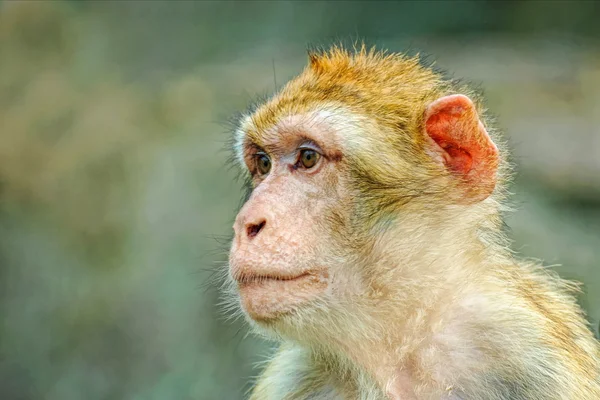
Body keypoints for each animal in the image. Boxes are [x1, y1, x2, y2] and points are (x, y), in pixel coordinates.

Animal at [225, 45, 600, 398]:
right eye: (263, 163)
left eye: (307, 157)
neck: (403, 351)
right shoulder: (291, 379)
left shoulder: (529, 354)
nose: (245, 223)